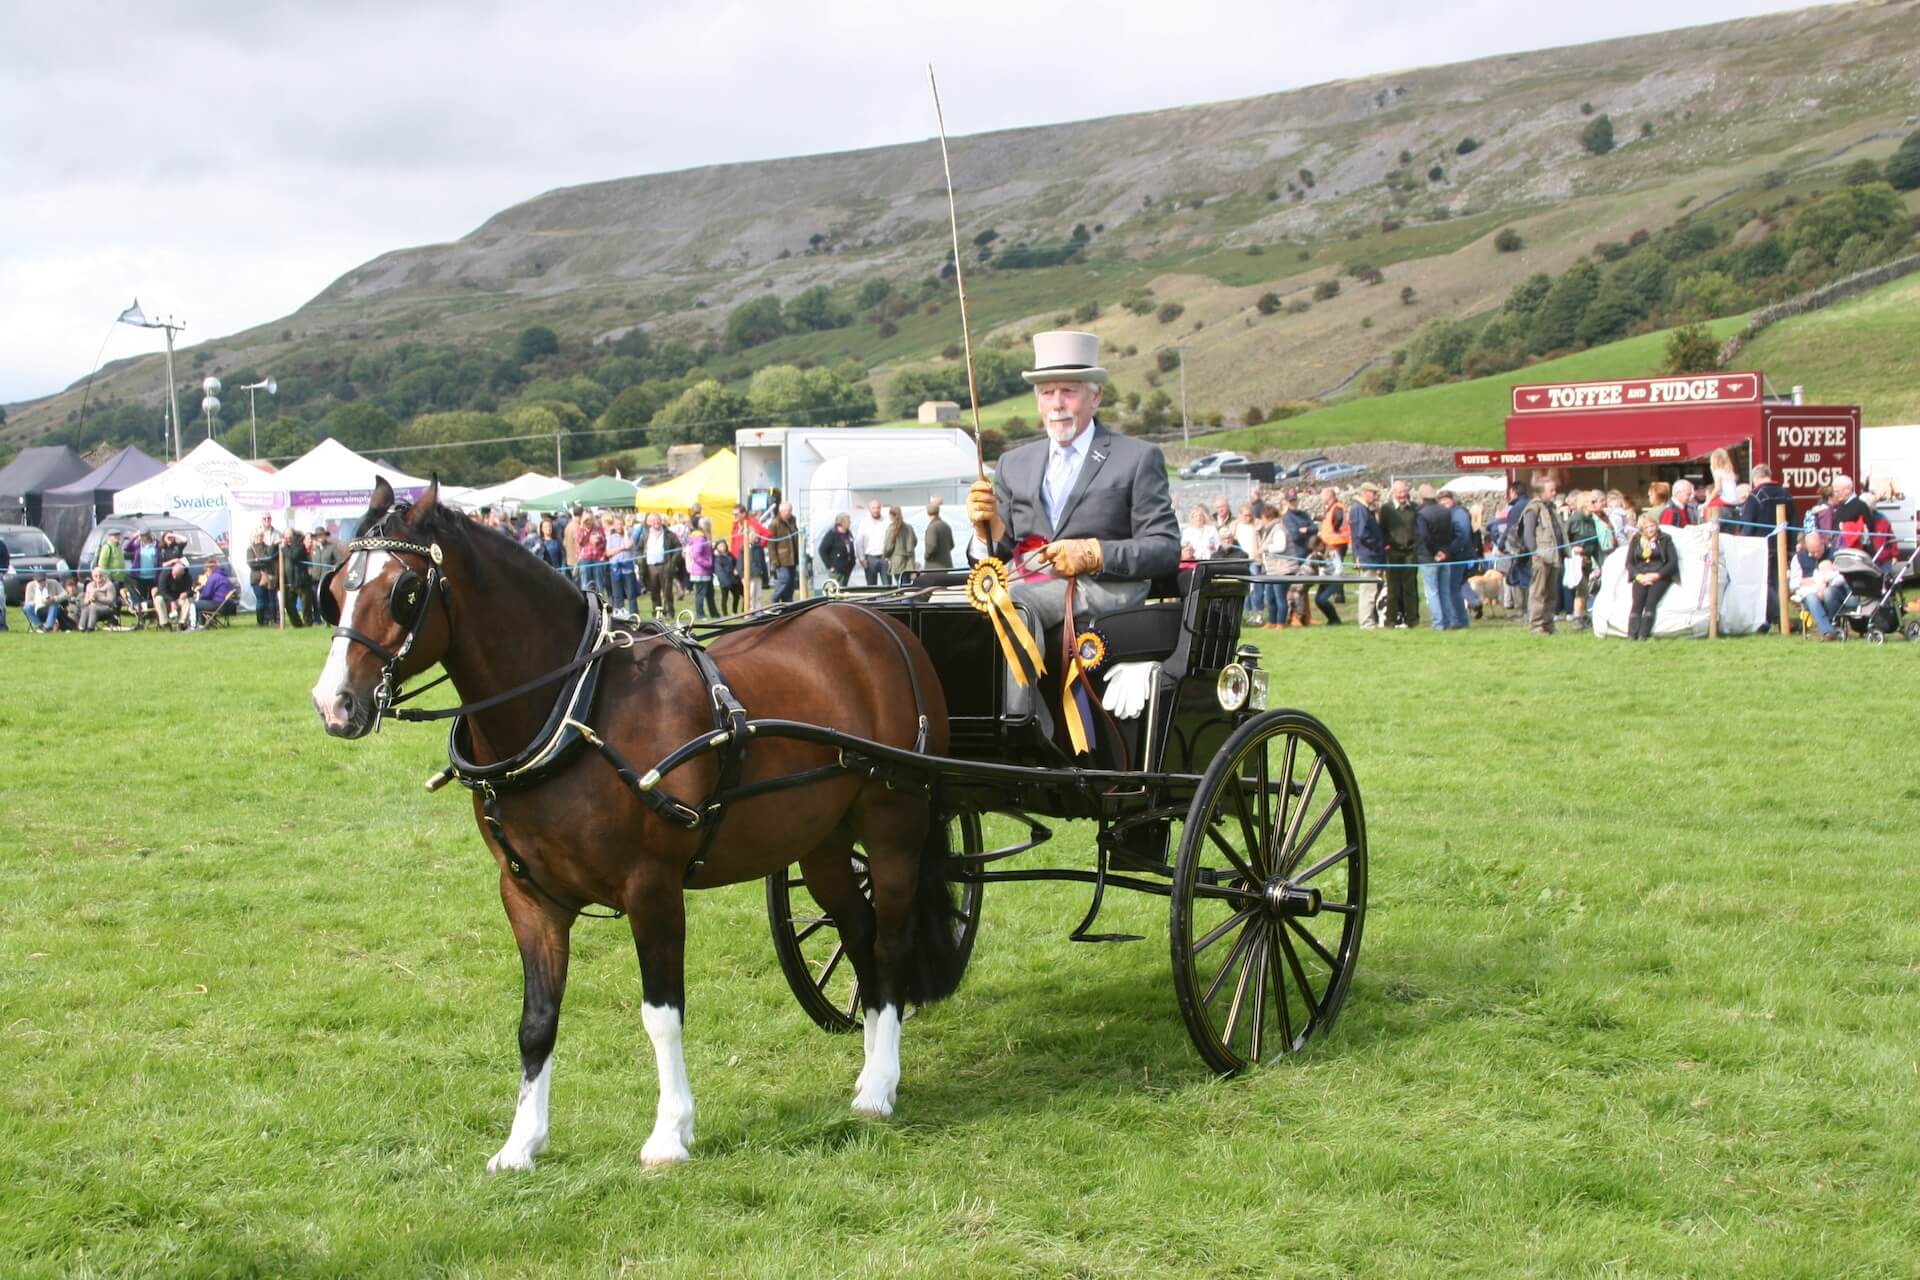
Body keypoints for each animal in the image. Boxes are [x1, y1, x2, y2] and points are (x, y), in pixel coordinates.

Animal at [309, 478, 965, 1171]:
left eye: (404, 591)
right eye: (335, 588)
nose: (334, 705)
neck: (576, 709)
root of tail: (875, 622)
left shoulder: (652, 886)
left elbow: (661, 1012)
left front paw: (669, 1133)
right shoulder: (528, 896)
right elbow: (536, 1019)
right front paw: (521, 1143)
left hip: (894, 822)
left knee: (890, 940)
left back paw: (883, 1084)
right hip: (822, 842)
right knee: (859, 932)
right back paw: (870, 1072)